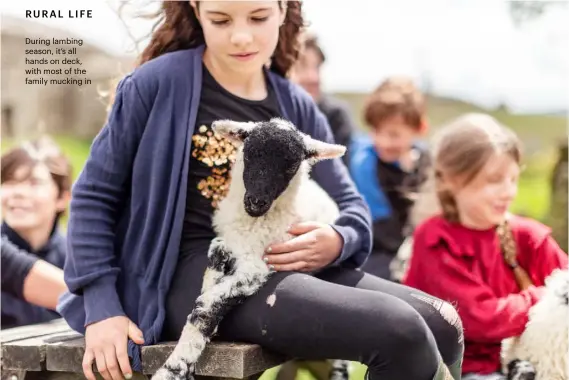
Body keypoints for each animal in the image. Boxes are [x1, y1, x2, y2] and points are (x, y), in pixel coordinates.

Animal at [153, 117, 350, 378]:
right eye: (249, 154)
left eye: (291, 166)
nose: (257, 201)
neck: (252, 224)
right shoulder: (224, 243)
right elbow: (211, 270)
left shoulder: (258, 266)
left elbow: (206, 306)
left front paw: (172, 368)